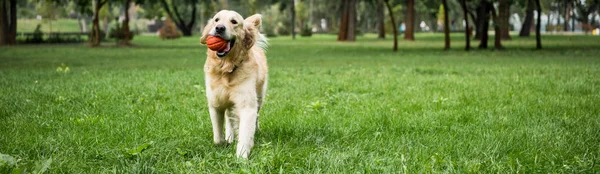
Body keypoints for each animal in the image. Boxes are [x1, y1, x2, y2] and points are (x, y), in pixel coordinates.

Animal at [200, 9, 268, 159]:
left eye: (234, 22)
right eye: (216, 20)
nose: (219, 28)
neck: (226, 69)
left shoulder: (247, 105)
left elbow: (245, 132)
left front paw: (241, 156)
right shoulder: (215, 103)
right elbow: (217, 137)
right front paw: (224, 142)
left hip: (259, 96)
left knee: (256, 115)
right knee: (229, 118)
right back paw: (230, 136)